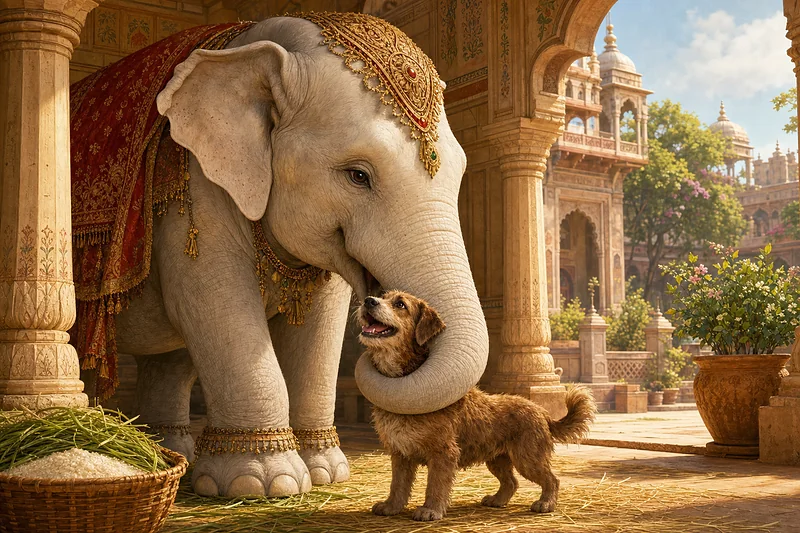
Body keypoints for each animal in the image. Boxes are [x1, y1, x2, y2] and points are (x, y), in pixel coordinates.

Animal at [113, 14, 489, 498]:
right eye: (358, 176)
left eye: (460, 175)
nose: (381, 311)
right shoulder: (193, 188)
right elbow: (212, 305)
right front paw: (263, 485)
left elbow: (321, 323)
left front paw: (326, 472)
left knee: (170, 358)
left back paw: (173, 452)